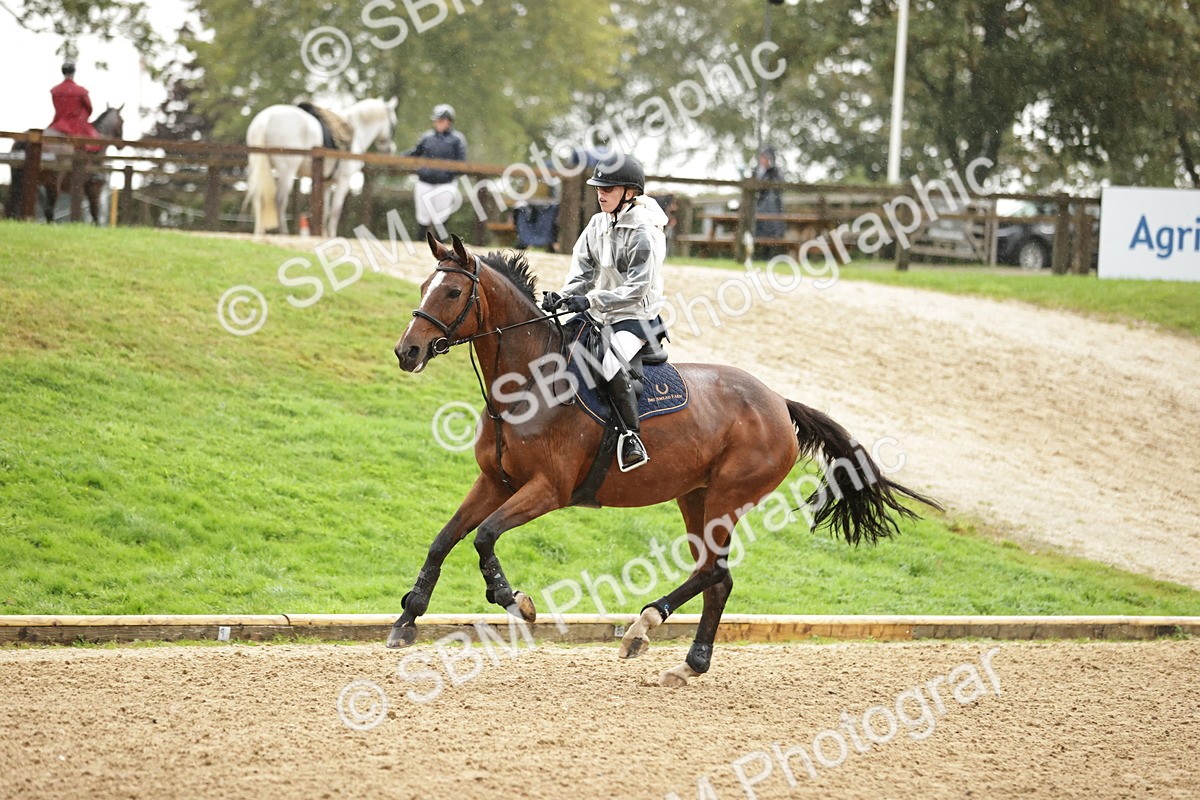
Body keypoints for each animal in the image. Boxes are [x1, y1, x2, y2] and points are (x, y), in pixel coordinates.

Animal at [244, 97, 397, 236]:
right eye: (393, 124)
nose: (390, 149)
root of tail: (265, 120)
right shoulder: (344, 180)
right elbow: (335, 211)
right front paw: (332, 235)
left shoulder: (326, 183)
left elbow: (325, 211)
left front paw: (323, 236)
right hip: (286, 170)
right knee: (280, 200)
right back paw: (283, 232)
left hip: (259, 166)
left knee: (259, 198)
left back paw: (259, 232)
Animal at [389, 233, 942, 686]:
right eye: (424, 286)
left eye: (452, 293)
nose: (406, 352)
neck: (526, 384)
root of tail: (779, 403)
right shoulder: (495, 482)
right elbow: (443, 540)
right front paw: (407, 619)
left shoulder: (547, 490)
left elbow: (483, 537)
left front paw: (514, 600)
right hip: (695, 497)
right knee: (718, 576)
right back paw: (689, 662)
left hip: (727, 496)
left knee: (714, 572)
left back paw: (643, 625)